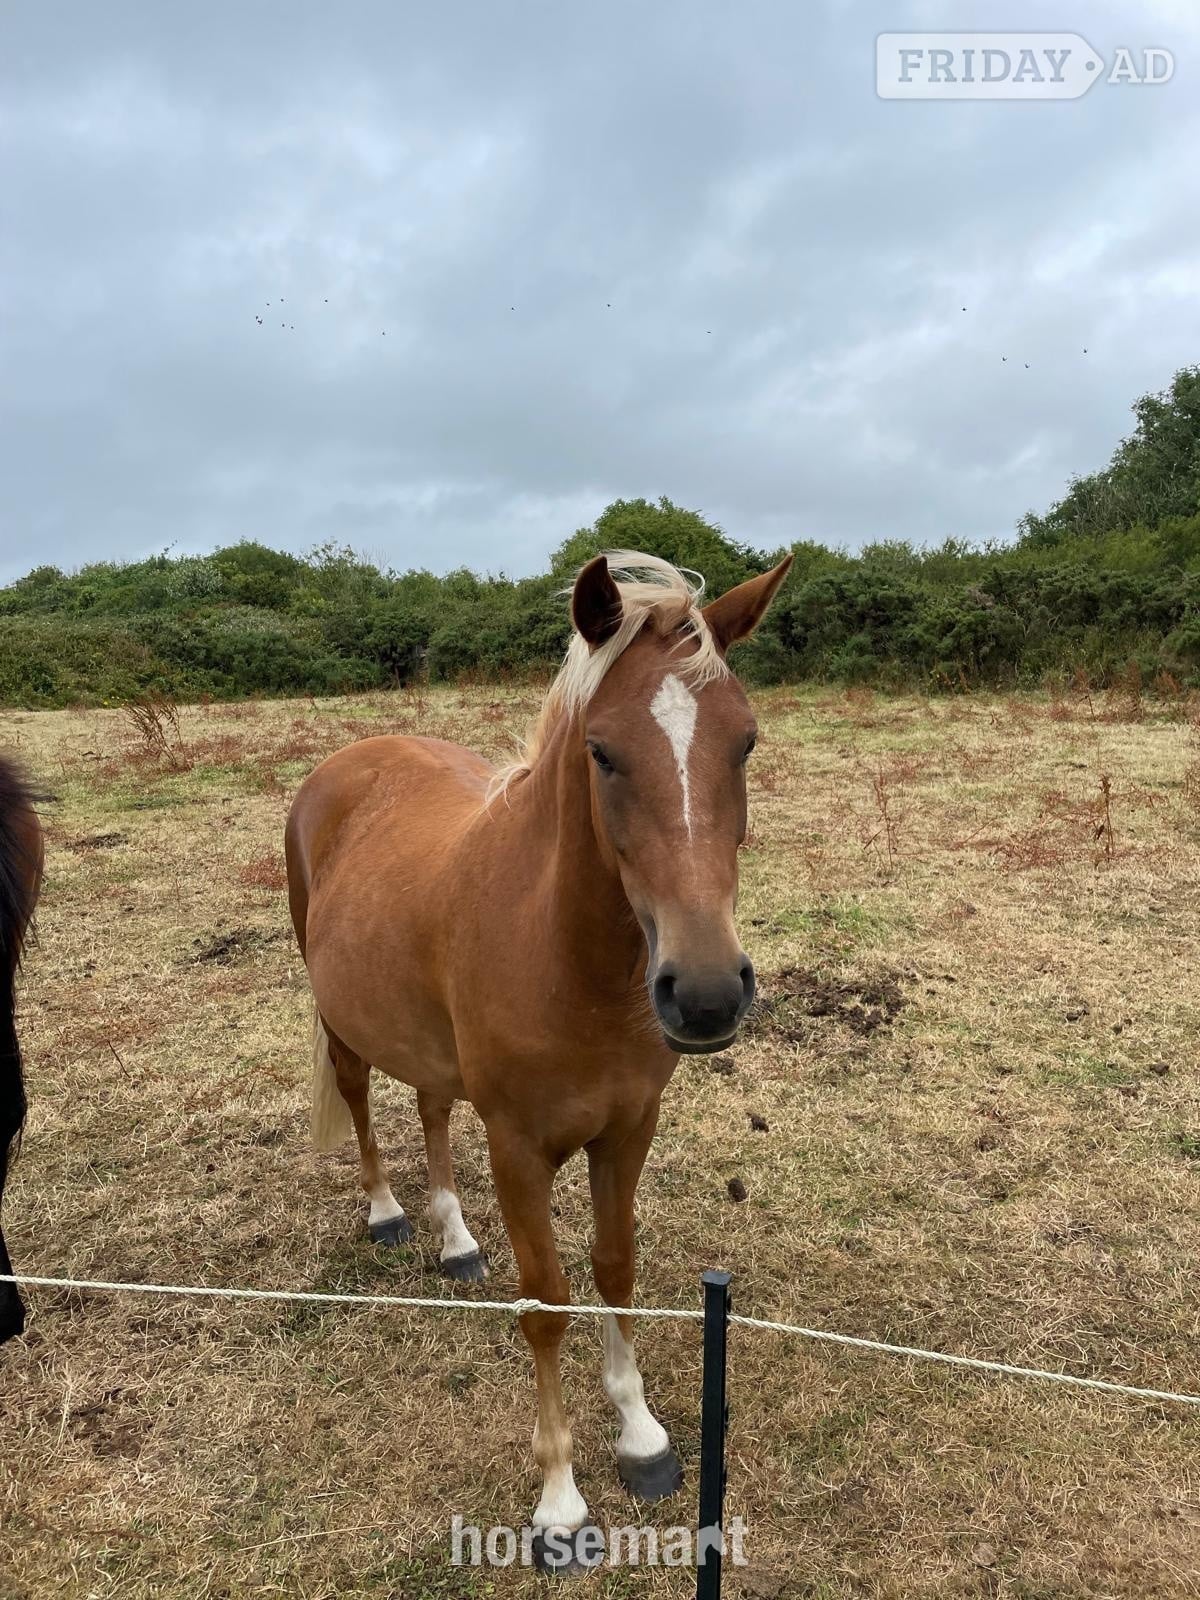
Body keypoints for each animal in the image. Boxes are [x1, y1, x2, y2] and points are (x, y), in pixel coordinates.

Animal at [284, 548, 791, 1559]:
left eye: (746, 743)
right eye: (602, 752)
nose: (706, 993)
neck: (567, 956)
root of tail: (344, 764)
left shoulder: (628, 1129)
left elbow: (614, 1266)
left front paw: (641, 1438)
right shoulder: (518, 1146)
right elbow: (548, 1299)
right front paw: (560, 1500)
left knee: (431, 1108)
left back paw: (454, 1238)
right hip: (344, 1020)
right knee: (359, 1097)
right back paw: (389, 1213)